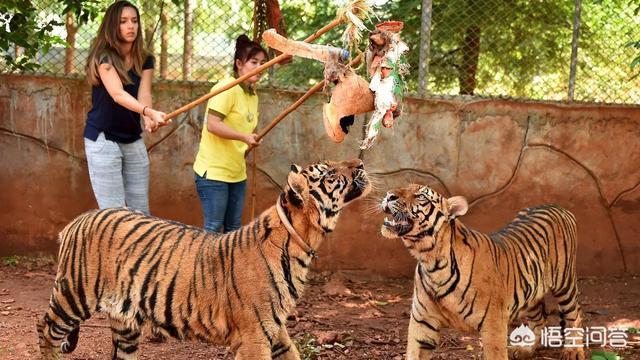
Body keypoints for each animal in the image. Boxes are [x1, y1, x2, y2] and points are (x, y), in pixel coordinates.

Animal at [36, 159, 370, 358]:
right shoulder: (254, 336)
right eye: (330, 173)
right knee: (45, 328)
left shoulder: (275, 331)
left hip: (124, 320)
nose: (360, 163)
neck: (303, 242)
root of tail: (79, 219)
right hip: (74, 294)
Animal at [380, 186, 584, 360]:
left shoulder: (494, 325)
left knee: (574, 313)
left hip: (564, 282)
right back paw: (525, 349)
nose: (389, 195)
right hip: (531, 289)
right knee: (540, 317)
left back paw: (573, 351)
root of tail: (556, 206)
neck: (431, 260)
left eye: (420, 196)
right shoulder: (422, 324)